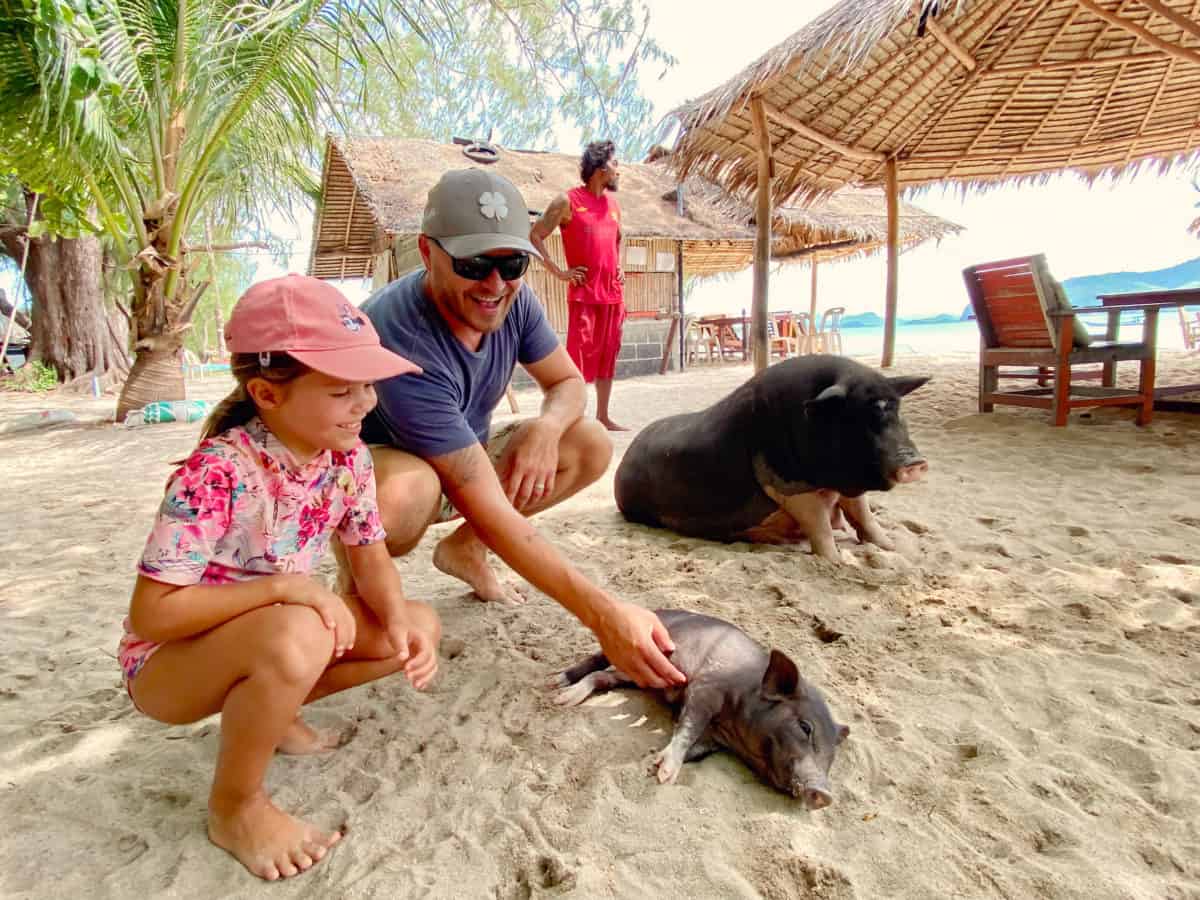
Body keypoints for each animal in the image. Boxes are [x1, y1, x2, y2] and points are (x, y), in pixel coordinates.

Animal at [552, 609, 844, 806]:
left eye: (832, 756)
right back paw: (558, 689)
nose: (826, 795)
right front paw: (666, 775)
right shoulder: (705, 689)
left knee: (603, 677)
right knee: (596, 661)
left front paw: (651, 763)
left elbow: (696, 749)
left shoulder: (714, 740)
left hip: (636, 674)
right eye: (805, 727)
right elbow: (688, 727)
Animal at [614, 355, 931, 561]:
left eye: (896, 408)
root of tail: (624, 458)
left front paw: (893, 548)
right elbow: (819, 524)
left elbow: (863, 514)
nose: (914, 463)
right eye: (858, 416)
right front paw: (837, 562)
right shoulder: (788, 485)